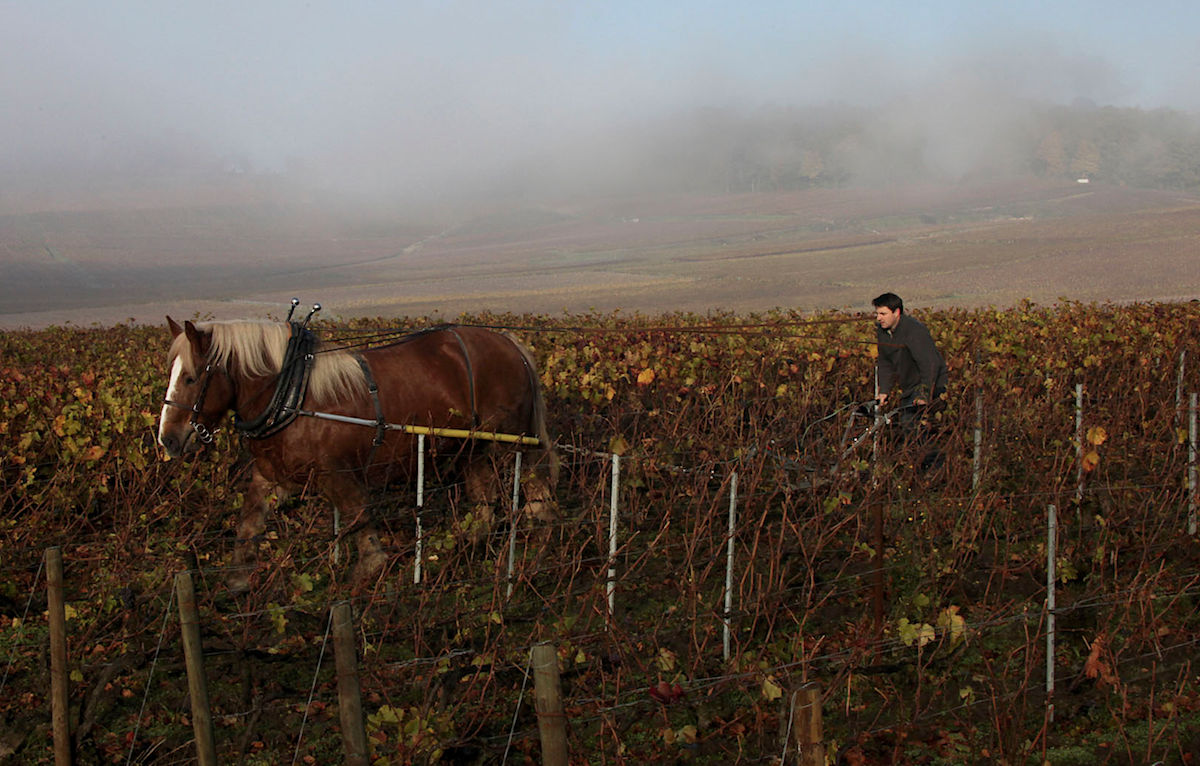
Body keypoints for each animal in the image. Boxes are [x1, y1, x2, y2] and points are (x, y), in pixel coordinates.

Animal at [156, 316, 561, 595]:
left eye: (191, 377)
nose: (168, 440)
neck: (291, 395)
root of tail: (510, 343)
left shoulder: (338, 474)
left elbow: (358, 519)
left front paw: (368, 571)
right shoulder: (270, 475)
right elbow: (249, 522)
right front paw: (239, 577)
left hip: (515, 441)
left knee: (537, 495)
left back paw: (537, 556)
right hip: (470, 447)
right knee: (484, 504)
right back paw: (461, 552)